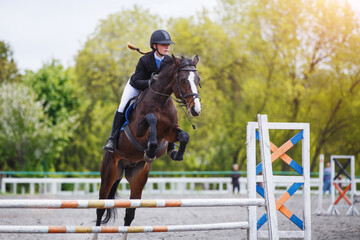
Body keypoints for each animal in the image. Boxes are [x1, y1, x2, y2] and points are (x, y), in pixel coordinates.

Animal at [94, 54, 201, 240]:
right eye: (182, 80)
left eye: (198, 79)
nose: (195, 109)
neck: (161, 100)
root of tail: (125, 165)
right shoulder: (138, 128)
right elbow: (151, 118)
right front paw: (151, 148)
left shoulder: (170, 132)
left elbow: (184, 136)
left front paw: (176, 154)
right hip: (108, 174)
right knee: (100, 209)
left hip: (138, 177)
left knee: (129, 214)